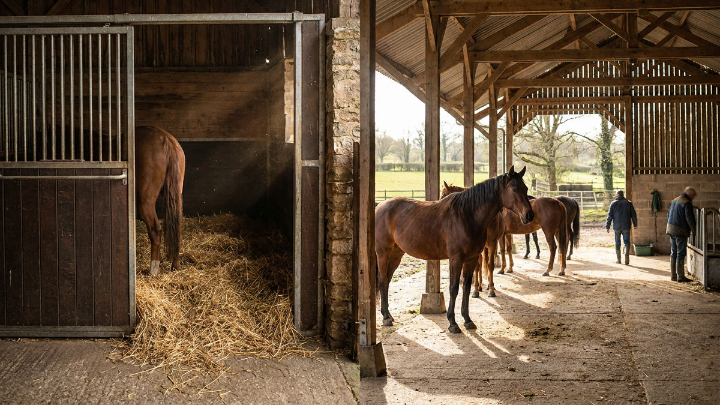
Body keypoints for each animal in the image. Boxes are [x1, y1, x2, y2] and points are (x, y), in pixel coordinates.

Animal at [135, 126, 186, 276]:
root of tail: (166, 139)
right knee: (176, 227)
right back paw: (175, 265)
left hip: (145, 201)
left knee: (155, 230)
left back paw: (153, 270)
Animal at [375, 166, 534, 334]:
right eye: (514, 189)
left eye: (525, 188)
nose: (529, 215)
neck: (467, 215)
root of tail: (379, 207)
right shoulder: (456, 259)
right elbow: (454, 288)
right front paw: (452, 323)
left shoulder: (471, 259)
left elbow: (467, 287)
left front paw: (467, 320)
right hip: (383, 253)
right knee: (383, 280)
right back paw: (385, 317)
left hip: (396, 254)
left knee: (387, 281)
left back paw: (389, 315)